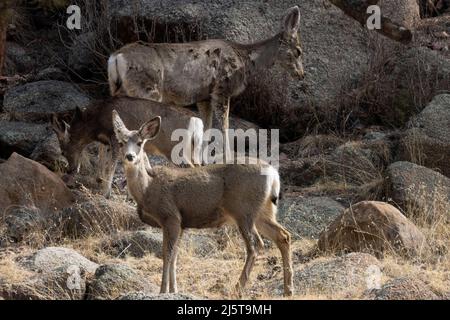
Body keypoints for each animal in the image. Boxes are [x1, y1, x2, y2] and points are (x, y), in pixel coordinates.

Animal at [50, 96, 202, 196]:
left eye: (63, 151)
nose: (70, 169)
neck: (95, 124)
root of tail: (197, 123)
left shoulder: (114, 138)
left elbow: (111, 166)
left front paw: (106, 193)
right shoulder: (111, 142)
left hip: (175, 150)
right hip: (192, 152)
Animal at [109, 5, 306, 158]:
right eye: (298, 51)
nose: (301, 74)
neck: (245, 59)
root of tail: (116, 57)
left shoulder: (204, 96)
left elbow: (207, 128)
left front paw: (203, 159)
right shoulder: (222, 88)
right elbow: (224, 126)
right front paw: (229, 157)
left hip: (119, 88)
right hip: (147, 88)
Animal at [112, 110, 294, 298]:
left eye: (140, 143)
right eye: (120, 143)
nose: (130, 156)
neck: (147, 188)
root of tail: (273, 174)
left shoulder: (170, 216)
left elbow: (167, 254)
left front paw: (163, 291)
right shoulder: (181, 223)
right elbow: (175, 255)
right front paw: (174, 290)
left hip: (244, 210)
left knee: (256, 245)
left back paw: (237, 289)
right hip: (263, 211)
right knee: (283, 235)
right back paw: (288, 289)